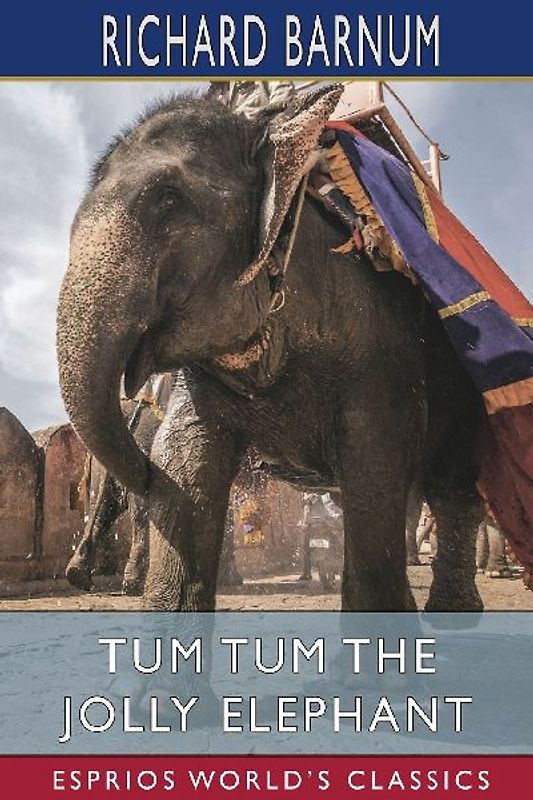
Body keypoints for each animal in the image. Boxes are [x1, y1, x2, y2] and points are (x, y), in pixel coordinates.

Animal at [56, 85, 485, 613]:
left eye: (169, 199)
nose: (75, 573)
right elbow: (183, 460)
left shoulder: (380, 342)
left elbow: (376, 460)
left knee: (450, 487)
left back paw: (452, 614)